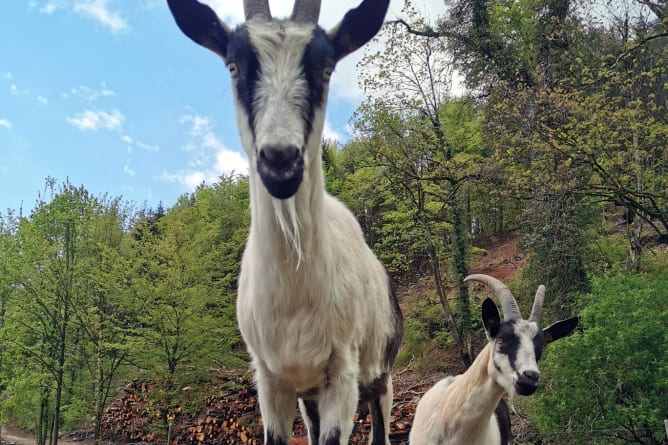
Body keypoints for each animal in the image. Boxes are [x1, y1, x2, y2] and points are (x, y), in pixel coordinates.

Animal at [167, 0, 404, 444]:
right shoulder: (271, 378)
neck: (296, 297)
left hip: (380, 378)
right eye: (233, 66)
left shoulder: (341, 373)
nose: (280, 161)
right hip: (308, 394)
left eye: (326, 68)